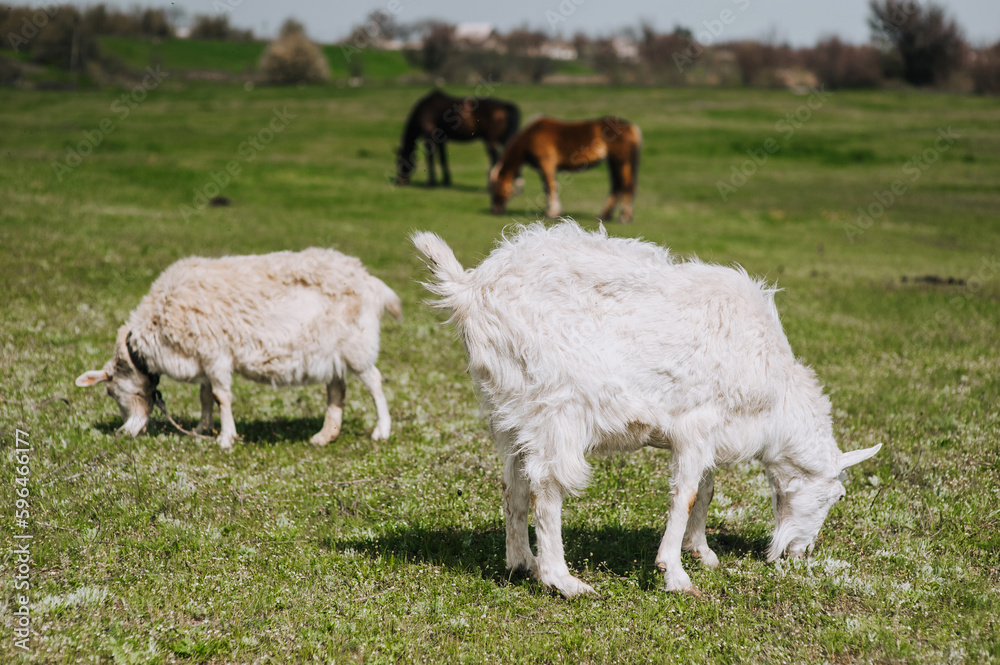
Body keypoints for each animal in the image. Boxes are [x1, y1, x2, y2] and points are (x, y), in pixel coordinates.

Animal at [76, 247, 401, 450]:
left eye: (112, 392)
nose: (124, 433)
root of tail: (370, 280)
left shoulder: (215, 353)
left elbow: (221, 396)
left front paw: (225, 438)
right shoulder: (203, 357)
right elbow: (205, 396)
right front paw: (201, 430)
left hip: (357, 345)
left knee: (375, 382)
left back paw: (382, 430)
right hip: (330, 352)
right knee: (336, 390)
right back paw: (324, 436)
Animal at [413, 221, 881, 597]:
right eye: (837, 495)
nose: (800, 553)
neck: (776, 398)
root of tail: (470, 290)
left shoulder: (707, 436)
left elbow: (706, 490)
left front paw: (702, 552)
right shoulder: (697, 424)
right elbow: (686, 494)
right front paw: (674, 573)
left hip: (511, 408)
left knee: (514, 485)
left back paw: (520, 563)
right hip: (555, 405)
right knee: (547, 488)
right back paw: (563, 581)